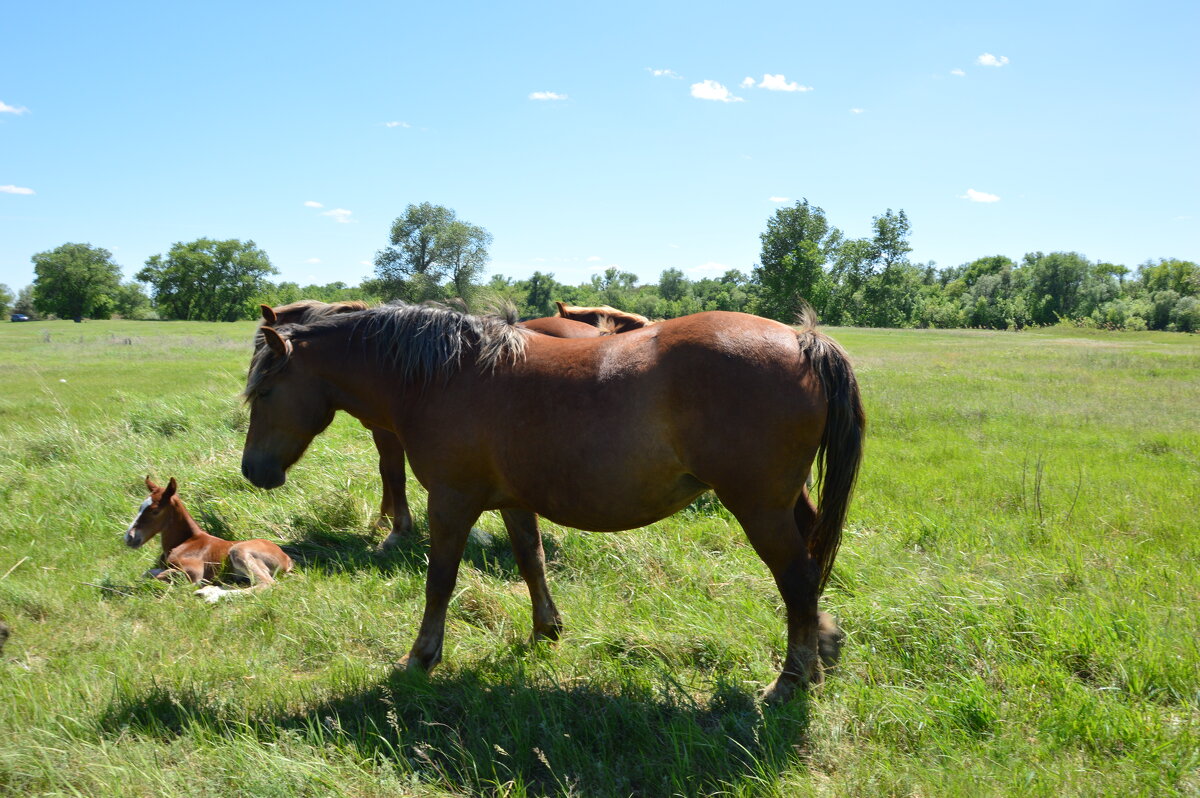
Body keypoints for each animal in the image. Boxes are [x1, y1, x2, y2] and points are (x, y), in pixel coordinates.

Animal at [124, 475, 295, 600]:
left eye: (155, 511)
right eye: (140, 507)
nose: (129, 537)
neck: (184, 542)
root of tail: (287, 559)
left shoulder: (193, 573)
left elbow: (156, 578)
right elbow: (147, 574)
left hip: (239, 551)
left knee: (266, 584)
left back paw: (210, 595)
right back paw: (210, 590)